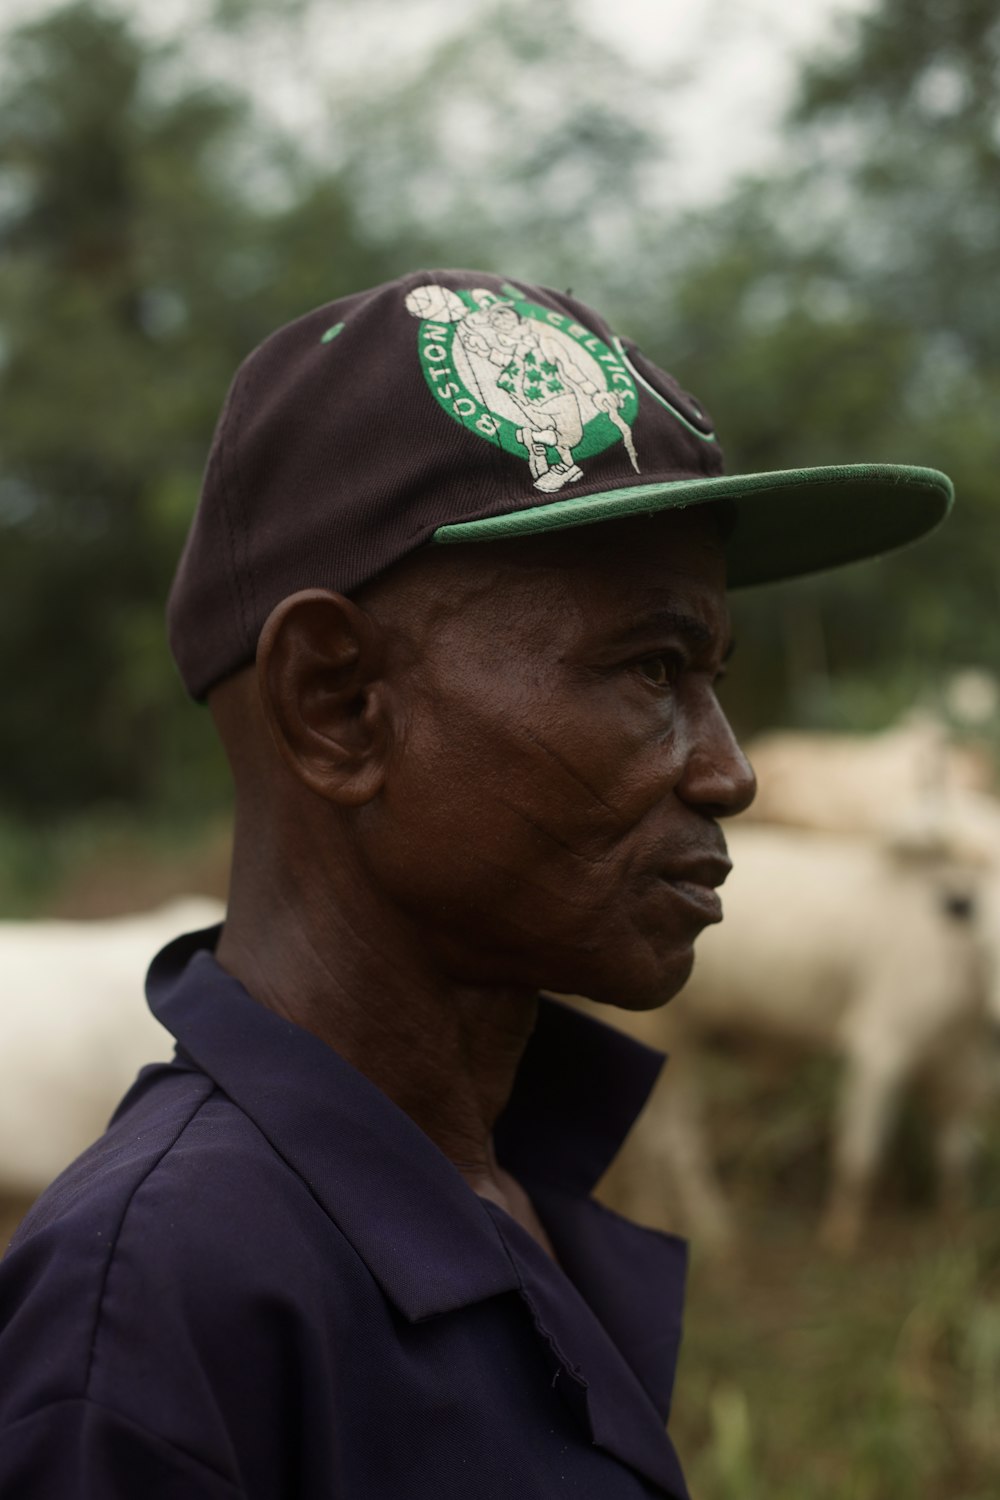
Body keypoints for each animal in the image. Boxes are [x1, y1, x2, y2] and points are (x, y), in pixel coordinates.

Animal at [590, 822, 989, 1254]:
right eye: (983, 930)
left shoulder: (960, 1068)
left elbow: (955, 1156)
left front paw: (957, 1224)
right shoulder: (881, 1049)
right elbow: (861, 1155)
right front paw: (841, 1235)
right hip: (662, 1033)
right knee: (669, 1137)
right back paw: (708, 1227)